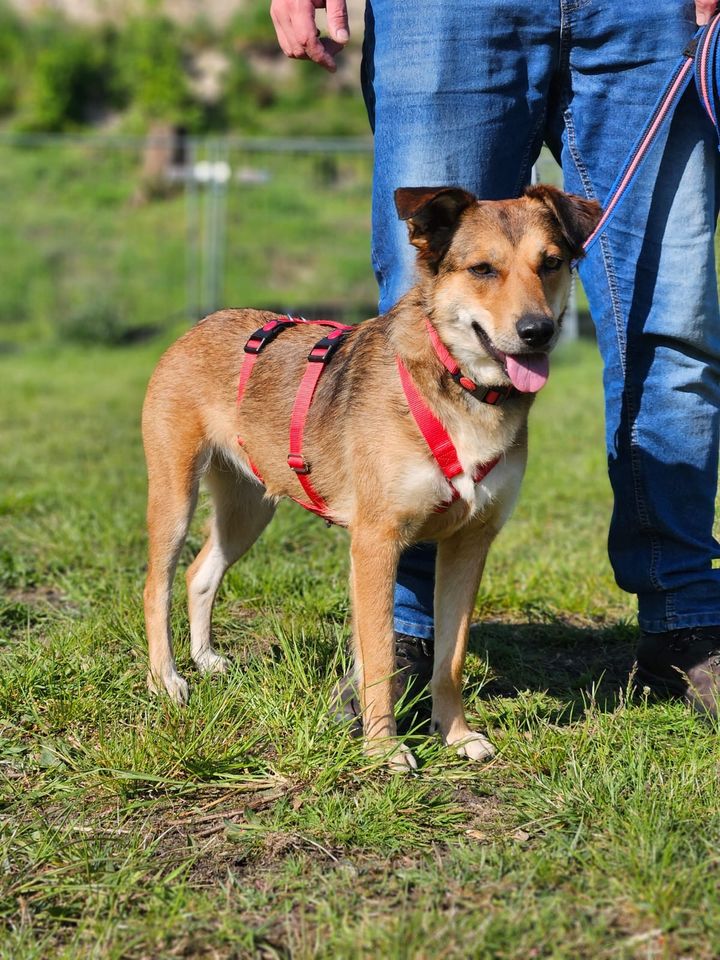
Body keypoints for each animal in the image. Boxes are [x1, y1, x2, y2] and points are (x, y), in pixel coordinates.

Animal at [141, 184, 600, 772]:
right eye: (482, 269)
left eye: (552, 263)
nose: (537, 331)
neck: (464, 388)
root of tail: (203, 323)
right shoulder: (377, 542)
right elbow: (380, 653)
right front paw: (384, 748)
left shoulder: (470, 543)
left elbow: (449, 658)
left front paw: (455, 735)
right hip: (175, 494)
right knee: (157, 584)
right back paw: (167, 678)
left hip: (249, 508)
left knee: (202, 573)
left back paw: (206, 659)